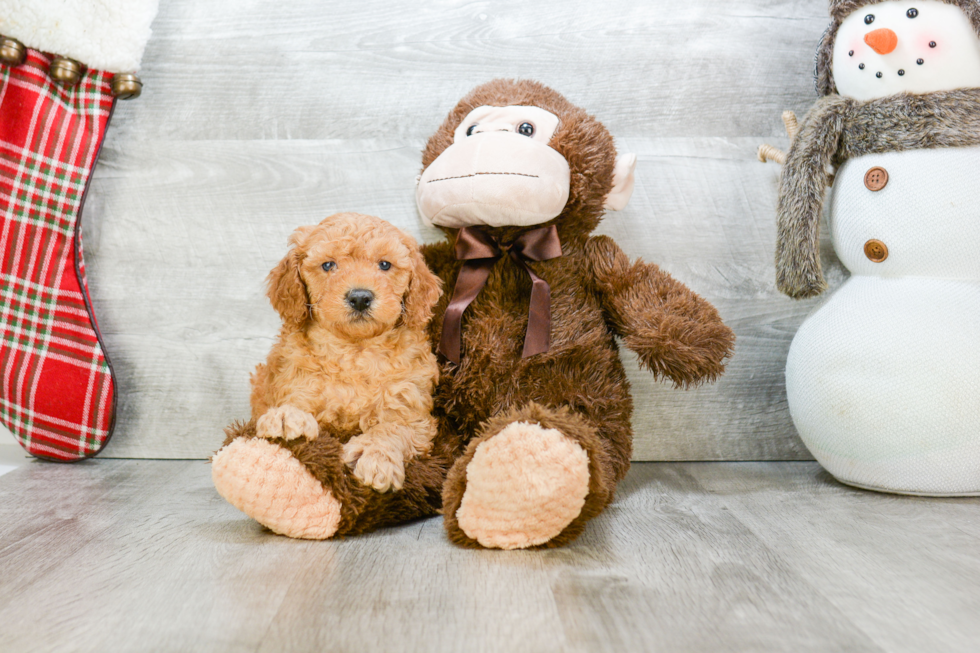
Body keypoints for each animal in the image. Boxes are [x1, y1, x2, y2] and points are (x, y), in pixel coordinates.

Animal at [216, 214, 446, 540]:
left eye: (384, 265)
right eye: (328, 265)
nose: (360, 297)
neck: (353, 350)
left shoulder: (413, 414)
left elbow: (392, 429)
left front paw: (374, 455)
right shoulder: (295, 379)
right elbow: (294, 403)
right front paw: (286, 416)